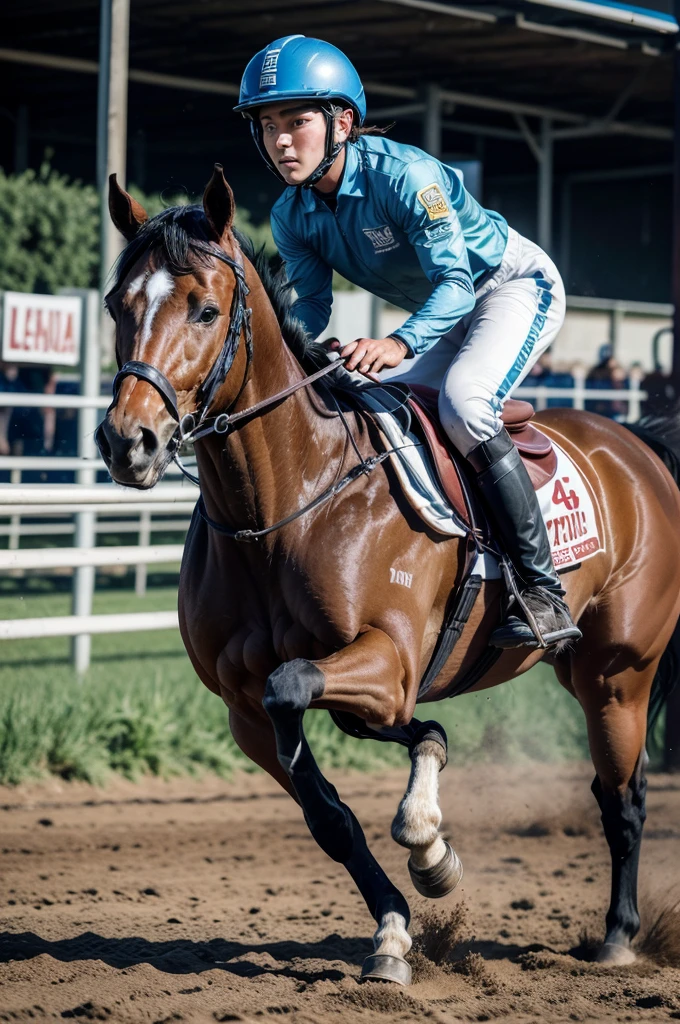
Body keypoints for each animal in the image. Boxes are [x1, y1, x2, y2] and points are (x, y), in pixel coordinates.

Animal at [95, 165, 680, 983]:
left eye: (205, 310)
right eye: (117, 305)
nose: (128, 442)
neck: (285, 503)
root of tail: (639, 445)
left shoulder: (389, 658)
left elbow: (299, 687)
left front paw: (428, 851)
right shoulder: (247, 709)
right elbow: (334, 805)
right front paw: (400, 924)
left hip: (617, 671)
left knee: (622, 797)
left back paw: (619, 939)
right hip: (579, 670)